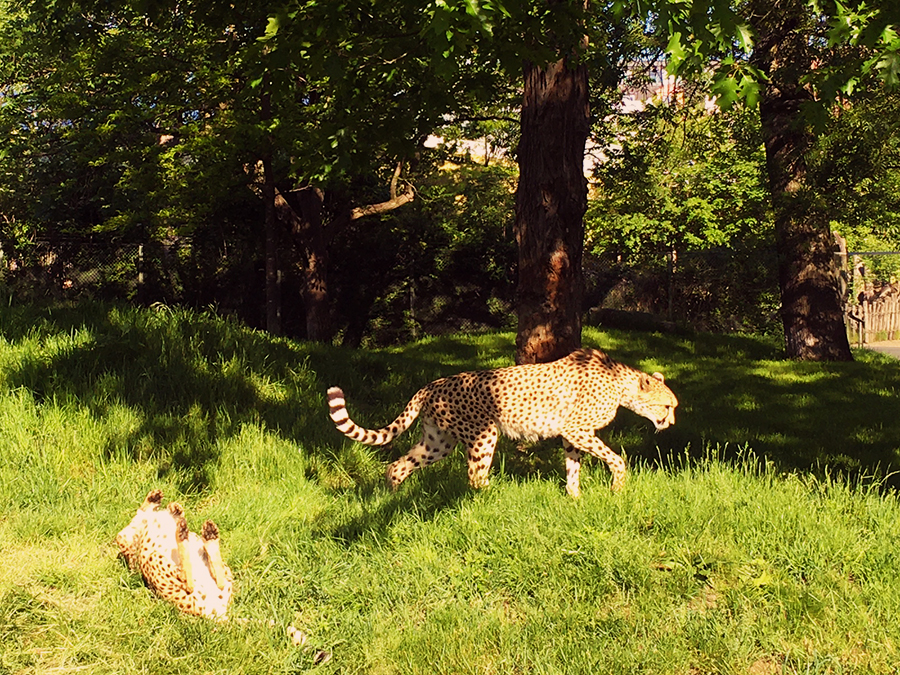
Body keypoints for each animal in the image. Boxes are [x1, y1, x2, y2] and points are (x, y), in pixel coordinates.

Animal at [116, 488, 234, 620]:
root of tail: (217, 613)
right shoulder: (127, 541)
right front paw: (158, 501)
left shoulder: (128, 537)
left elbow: (140, 514)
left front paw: (165, 503)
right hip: (154, 559)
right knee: (190, 581)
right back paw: (187, 533)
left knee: (215, 581)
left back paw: (206, 534)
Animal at [326, 348, 680, 496]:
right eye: (667, 406)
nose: (672, 424)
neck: (620, 384)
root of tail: (433, 383)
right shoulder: (576, 429)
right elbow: (616, 459)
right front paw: (617, 487)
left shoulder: (571, 435)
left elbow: (573, 467)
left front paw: (574, 497)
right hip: (485, 432)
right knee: (475, 476)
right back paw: (495, 496)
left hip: (439, 441)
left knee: (399, 465)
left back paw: (392, 494)